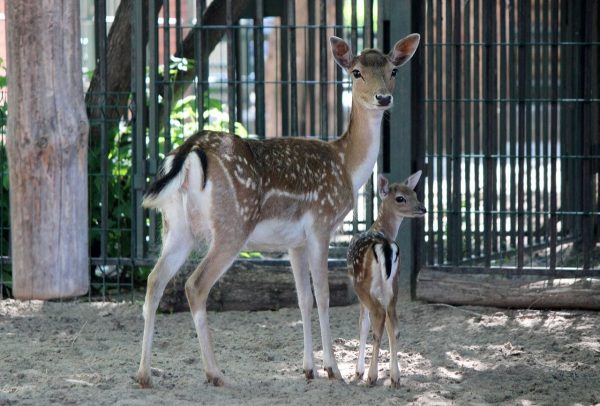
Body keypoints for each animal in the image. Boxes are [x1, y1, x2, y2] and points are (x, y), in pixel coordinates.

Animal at [137, 34, 418, 386]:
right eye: (356, 72)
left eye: (393, 70)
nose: (383, 98)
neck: (347, 167)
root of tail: (191, 151)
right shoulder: (321, 224)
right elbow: (323, 295)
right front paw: (333, 369)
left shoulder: (294, 242)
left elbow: (303, 299)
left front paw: (308, 369)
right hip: (232, 226)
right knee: (195, 285)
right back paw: (215, 373)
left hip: (177, 227)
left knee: (154, 280)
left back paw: (144, 375)